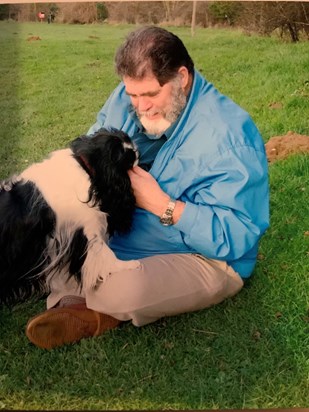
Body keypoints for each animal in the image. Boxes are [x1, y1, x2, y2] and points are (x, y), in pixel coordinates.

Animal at [0, 129, 140, 306]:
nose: (135, 150)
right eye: (122, 154)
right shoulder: (87, 230)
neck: (85, 165)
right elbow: (104, 252)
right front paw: (126, 266)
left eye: (128, 140)